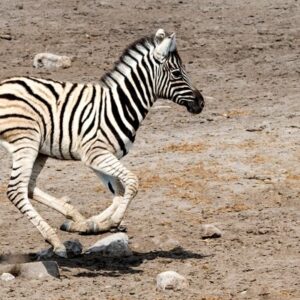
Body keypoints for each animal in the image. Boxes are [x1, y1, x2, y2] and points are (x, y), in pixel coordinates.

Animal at [0, 29, 204, 256]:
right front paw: (112, 222)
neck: (121, 105)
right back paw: (55, 241)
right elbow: (132, 183)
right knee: (16, 191)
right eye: (177, 73)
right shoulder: (96, 153)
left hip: (39, 151)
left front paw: (91, 224)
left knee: (29, 187)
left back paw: (72, 217)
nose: (201, 103)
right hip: (25, 142)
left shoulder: (100, 158)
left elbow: (119, 192)